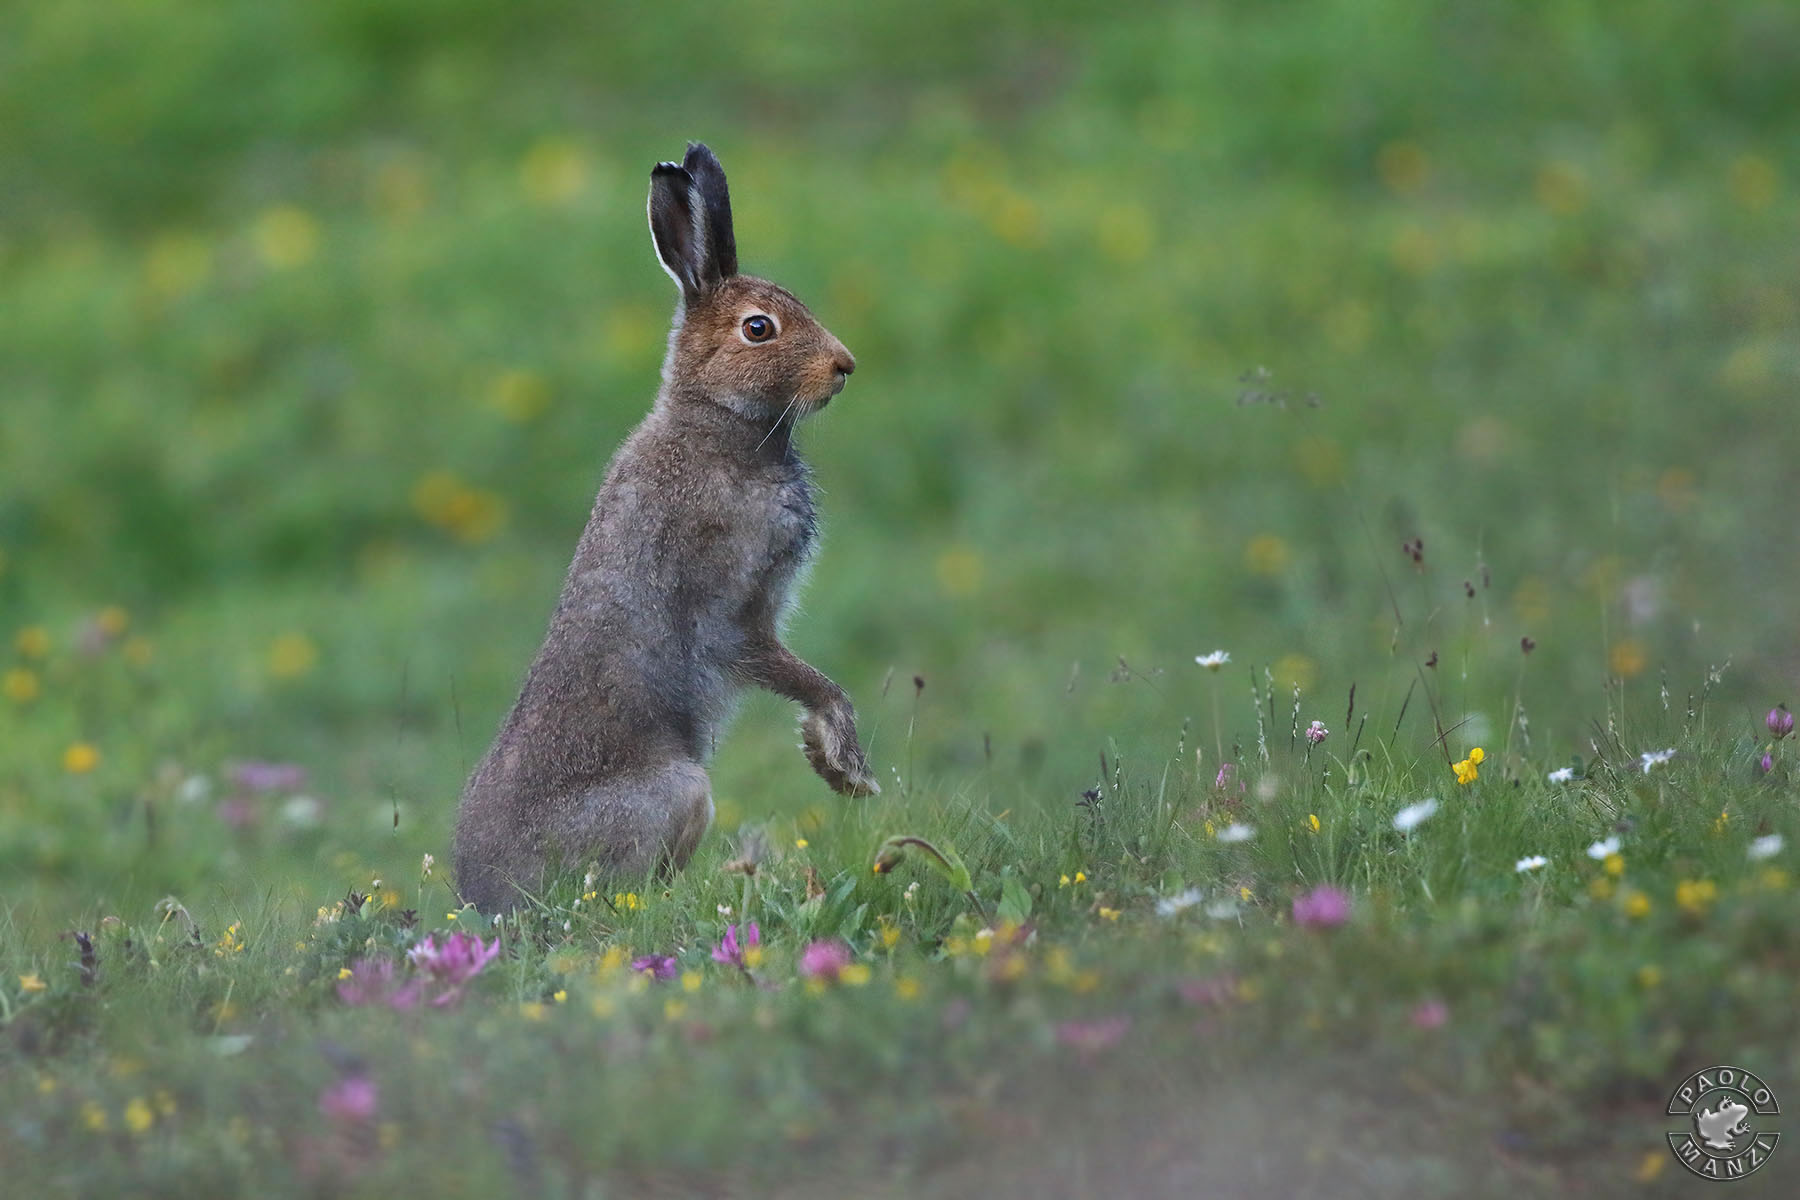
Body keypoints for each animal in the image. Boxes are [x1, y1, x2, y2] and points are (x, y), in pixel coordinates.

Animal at [452, 142, 879, 912]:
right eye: (759, 328)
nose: (844, 366)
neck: (714, 423)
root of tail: (485, 897)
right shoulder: (737, 607)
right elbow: (798, 674)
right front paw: (841, 764)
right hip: (683, 790)